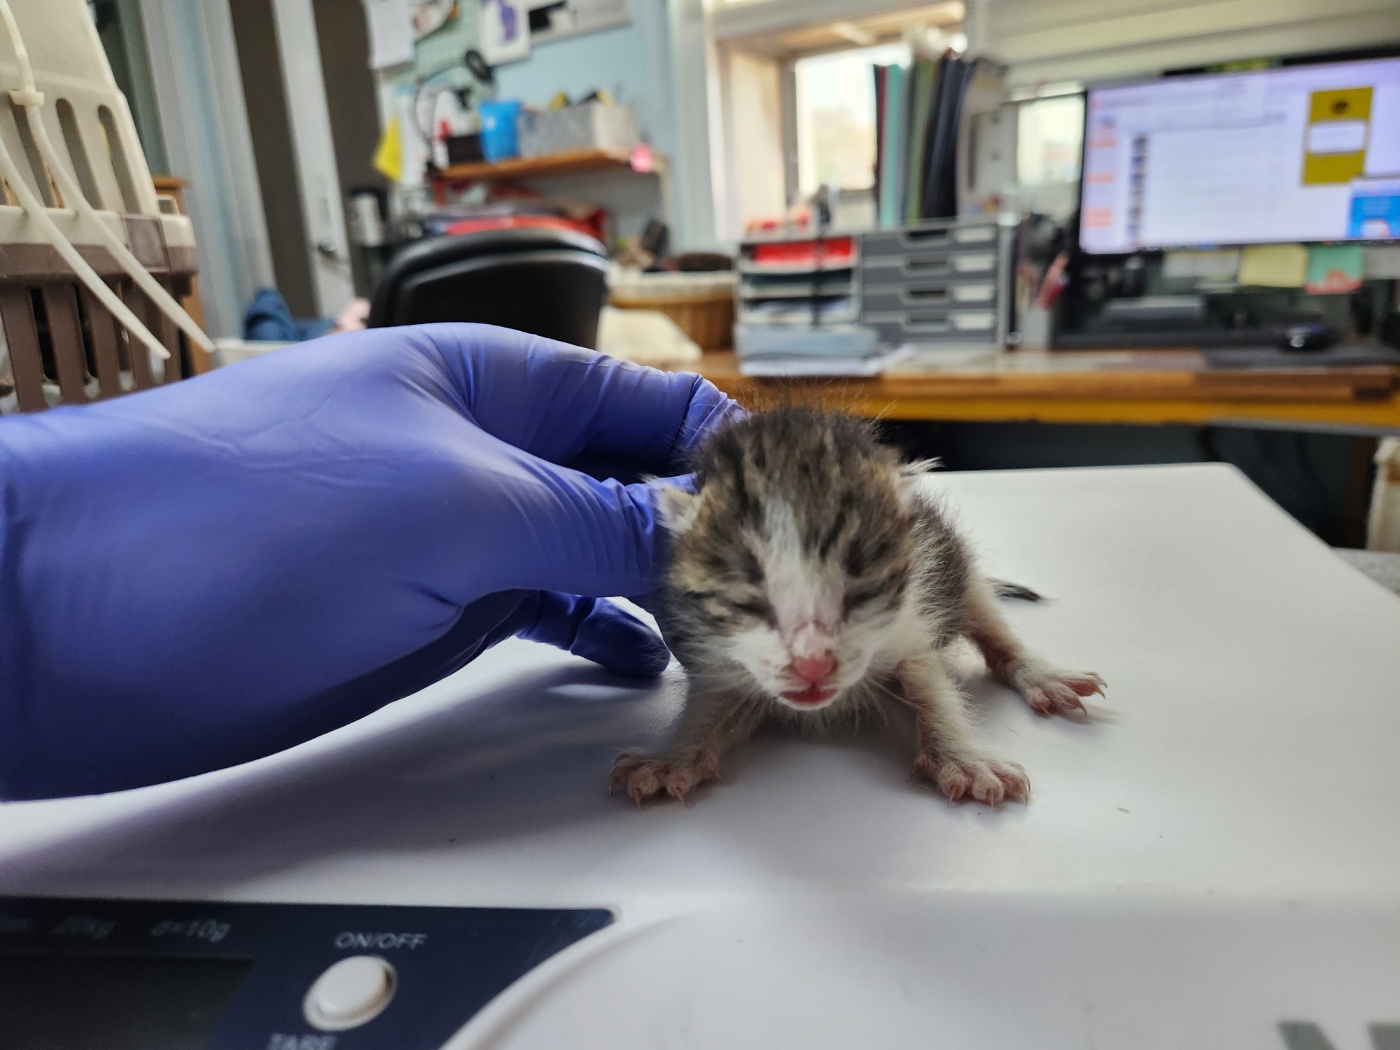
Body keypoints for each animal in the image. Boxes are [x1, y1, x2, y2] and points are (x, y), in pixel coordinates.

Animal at [613, 406, 1103, 812]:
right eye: (746, 603)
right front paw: (674, 758)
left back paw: (1039, 673)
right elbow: (714, 704)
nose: (811, 666)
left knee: (985, 614)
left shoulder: (909, 621)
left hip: (955, 563)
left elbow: (930, 685)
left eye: (859, 594)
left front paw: (963, 758)